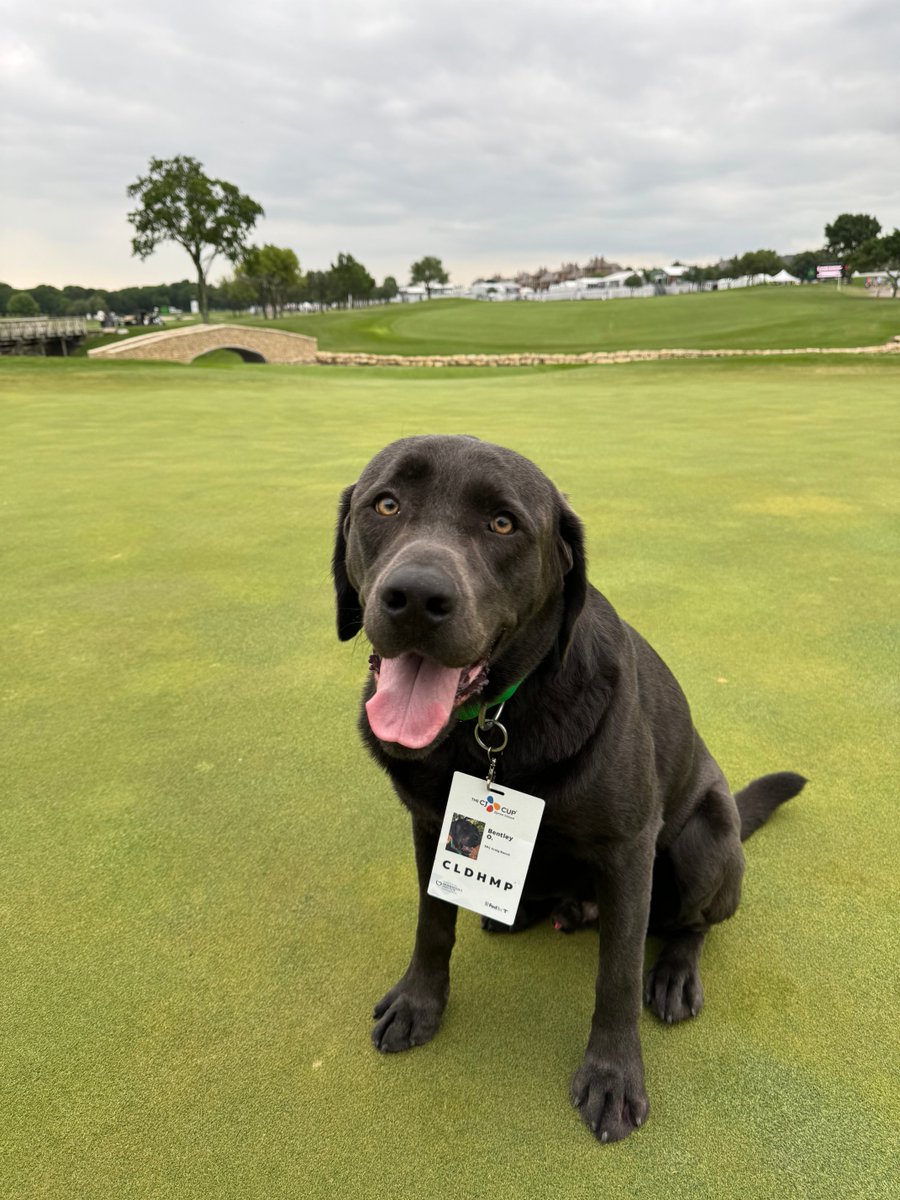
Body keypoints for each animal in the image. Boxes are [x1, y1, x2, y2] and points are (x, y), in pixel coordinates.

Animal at [328, 434, 801, 1142]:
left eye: (503, 523)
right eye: (385, 504)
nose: (414, 597)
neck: (492, 729)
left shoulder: (629, 849)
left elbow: (617, 975)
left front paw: (613, 1075)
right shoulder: (428, 821)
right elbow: (433, 922)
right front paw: (419, 1002)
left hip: (705, 840)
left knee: (693, 923)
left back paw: (674, 972)